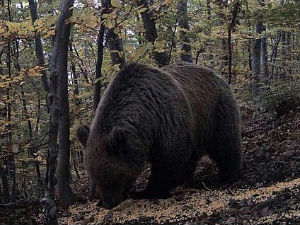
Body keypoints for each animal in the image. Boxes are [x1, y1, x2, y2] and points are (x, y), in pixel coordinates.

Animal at [77, 61, 241, 209]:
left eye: (113, 178)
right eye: (94, 178)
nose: (108, 204)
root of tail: (218, 75)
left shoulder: (168, 124)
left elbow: (167, 163)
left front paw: (148, 191)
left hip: (216, 112)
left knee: (225, 144)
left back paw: (228, 175)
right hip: (196, 128)